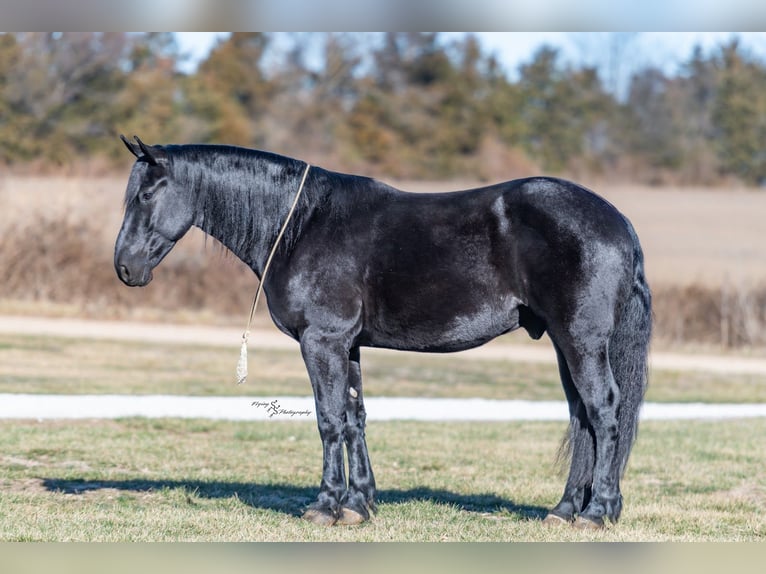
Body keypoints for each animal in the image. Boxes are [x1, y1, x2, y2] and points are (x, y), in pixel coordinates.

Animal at [114, 135, 652, 529]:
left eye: (146, 194)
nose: (124, 268)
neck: (303, 223)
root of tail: (620, 222)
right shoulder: (347, 346)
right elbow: (355, 418)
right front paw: (358, 505)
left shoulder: (322, 341)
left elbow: (329, 419)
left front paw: (325, 505)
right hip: (565, 344)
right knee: (581, 417)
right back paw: (565, 510)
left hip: (581, 342)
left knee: (603, 411)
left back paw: (597, 512)